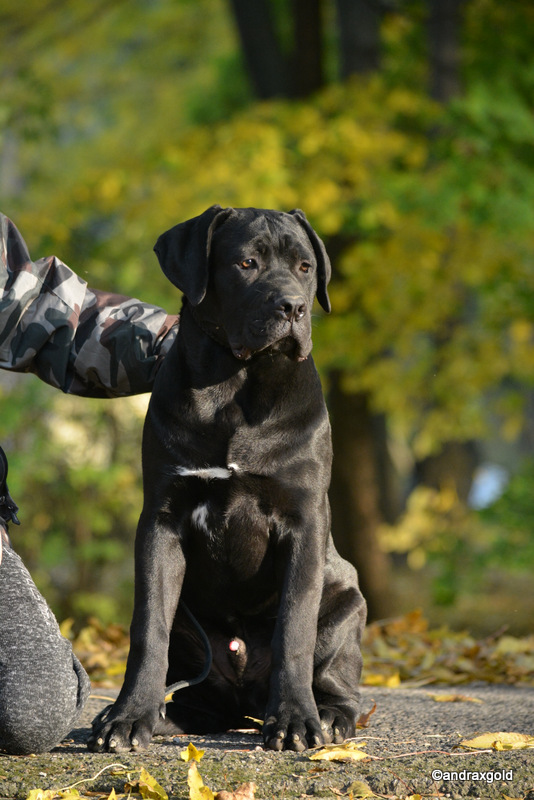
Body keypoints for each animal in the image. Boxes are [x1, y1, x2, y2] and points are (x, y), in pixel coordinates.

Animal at [91, 205, 368, 752]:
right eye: (246, 263)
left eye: (305, 267)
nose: (292, 307)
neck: (236, 383)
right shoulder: (162, 519)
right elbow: (147, 627)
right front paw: (127, 718)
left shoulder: (304, 520)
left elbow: (294, 628)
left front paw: (295, 720)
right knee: (195, 696)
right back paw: (154, 716)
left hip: (347, 600)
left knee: (337, 681)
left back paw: (327, 717)